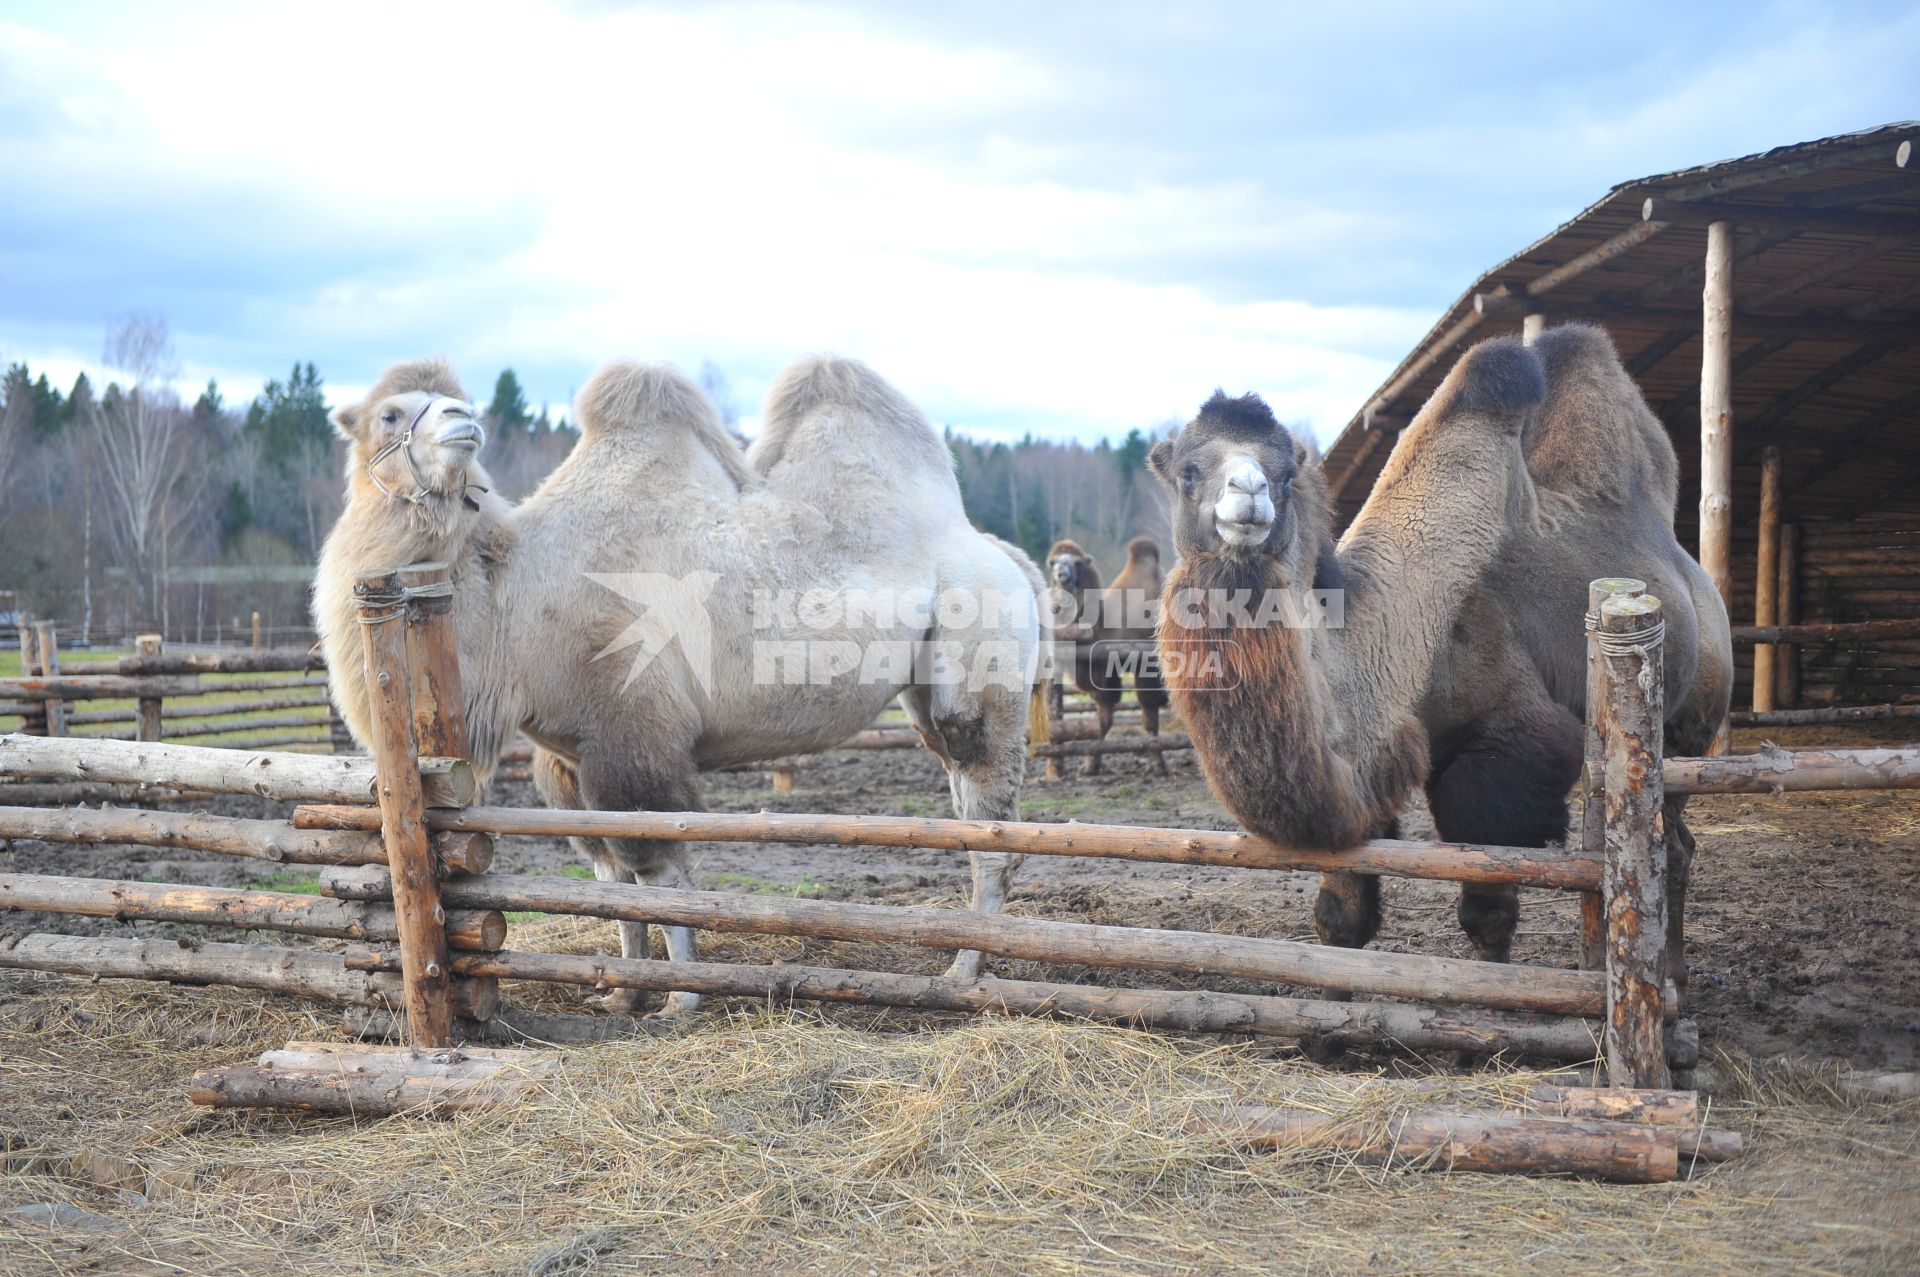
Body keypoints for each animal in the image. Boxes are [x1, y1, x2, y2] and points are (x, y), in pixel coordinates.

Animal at [1144, 324, 1735, 990]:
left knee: (1671, 839)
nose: (1248, 493)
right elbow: (1340, 915)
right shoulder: (1366, 770)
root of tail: (1695, 580)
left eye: (1286, 475)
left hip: (1687, 728)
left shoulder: (1509, 750)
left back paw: (1673, 975)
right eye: (1189, 471)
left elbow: (1488, 910)